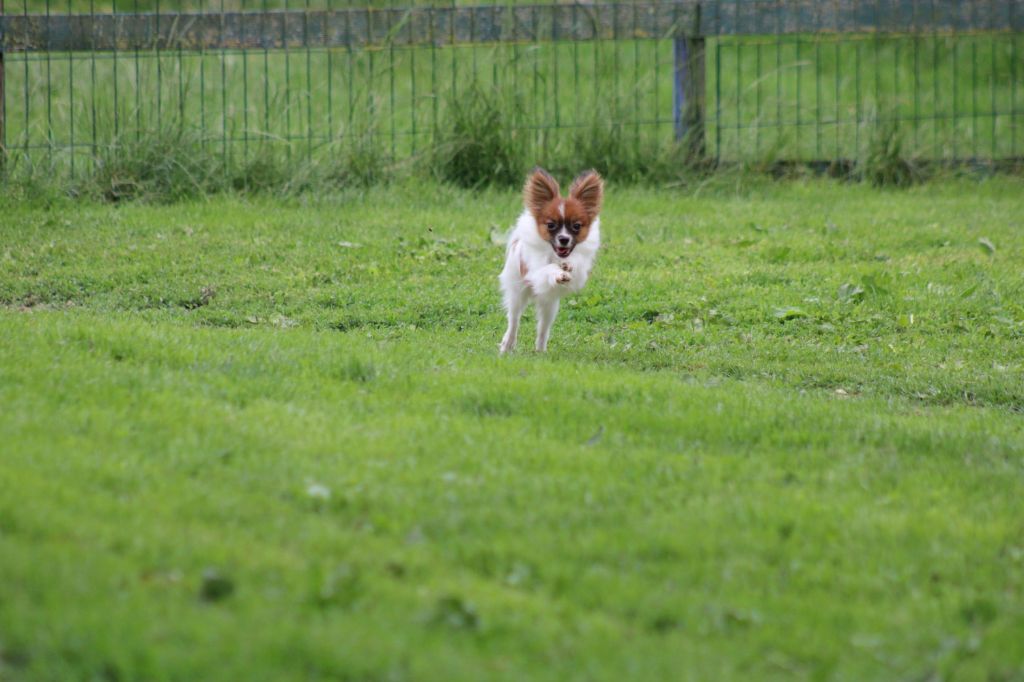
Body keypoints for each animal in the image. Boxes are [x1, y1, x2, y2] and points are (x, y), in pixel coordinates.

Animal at [499, 167, 603, 354]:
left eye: (576, 226)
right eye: (551, 225)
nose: (564, 239)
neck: (556, 254)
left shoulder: (579, 273)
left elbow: (574, 264)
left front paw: (568, 265)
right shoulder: (535, 270)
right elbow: (547, 268)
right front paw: (558, 272)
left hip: (550, 306)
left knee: (543, 329)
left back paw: (540, 351)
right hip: (517, 292)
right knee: (514, 320)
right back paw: (507, 344)